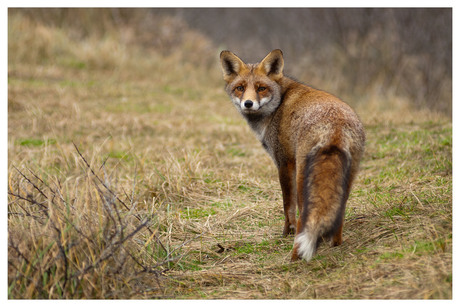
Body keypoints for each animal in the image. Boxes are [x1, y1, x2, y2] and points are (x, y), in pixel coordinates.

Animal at [220, 50, 366, 262]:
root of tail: (336, 126)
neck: (278, 104)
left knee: (304, 218)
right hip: (347, 177)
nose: (248, 103)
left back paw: (295, 257)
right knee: (338, 212)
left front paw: (285, 234)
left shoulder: (284, 163)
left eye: (261, 88)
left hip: (303, 177)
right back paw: (335, 244)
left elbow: (287, 206)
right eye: (240, 88)